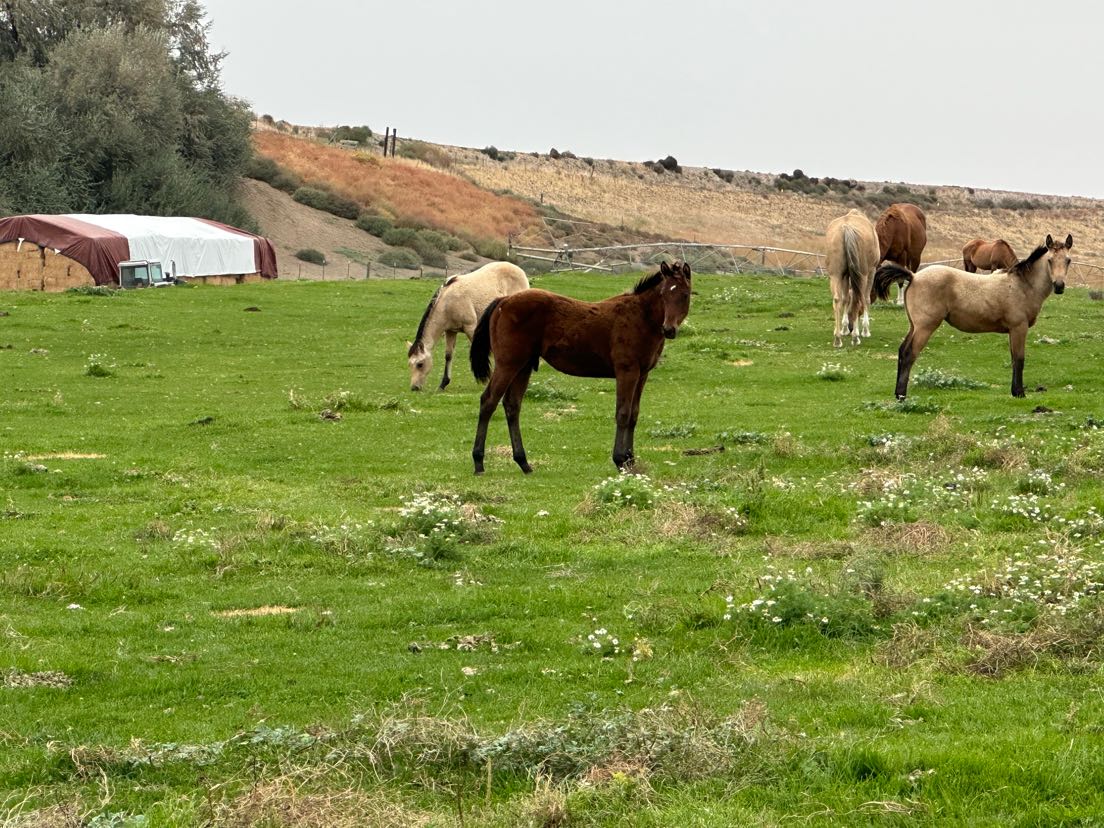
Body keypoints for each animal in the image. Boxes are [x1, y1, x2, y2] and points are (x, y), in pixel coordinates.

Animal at [407, 261, 529, 391]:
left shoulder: (470, 328)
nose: (414, 387)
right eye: (409, 364)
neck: (448, 303)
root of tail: (519, 270)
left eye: (420, 364)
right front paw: (443, 383)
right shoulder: (451, 331)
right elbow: (448, 355)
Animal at [469, 261, 692, 474]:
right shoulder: (626, 371)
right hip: (507, 364)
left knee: (512, 405)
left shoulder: (642, 374)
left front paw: (631, 460)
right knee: (488, 401)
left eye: (685, 295)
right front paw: (620, 460)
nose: (669, 329)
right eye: (663, 294)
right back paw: (479, 462)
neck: (640, 317)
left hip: (523, 366)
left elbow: (634, 415)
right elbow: (623, 413)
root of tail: (503, 301)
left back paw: (524, 463)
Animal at [825, 209, 880, 347]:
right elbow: (866, 299)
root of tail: (846, 228)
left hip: (835, 275)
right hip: (863, 275)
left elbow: (845, 299)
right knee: (857, 299)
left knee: (837, 299)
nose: (849, 327)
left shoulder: (845, 275)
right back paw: (855, 337)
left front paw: (842, 329)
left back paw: (838, 339)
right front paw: (865, 330)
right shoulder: (871, 271)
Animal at [873, 234, 1071, 399]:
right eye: (1050, 260)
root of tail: (913, 276)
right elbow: (1019, 359)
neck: (1022, 285)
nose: (1059, 286)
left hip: (914, 326)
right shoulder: (1018, 328)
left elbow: (1013, 359)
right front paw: (1019, 393)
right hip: (925, 327)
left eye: (1068, 260)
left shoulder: (1012, 331)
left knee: (902, 351)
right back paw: (901, 395)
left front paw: (1015, 391)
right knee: (909, 354)